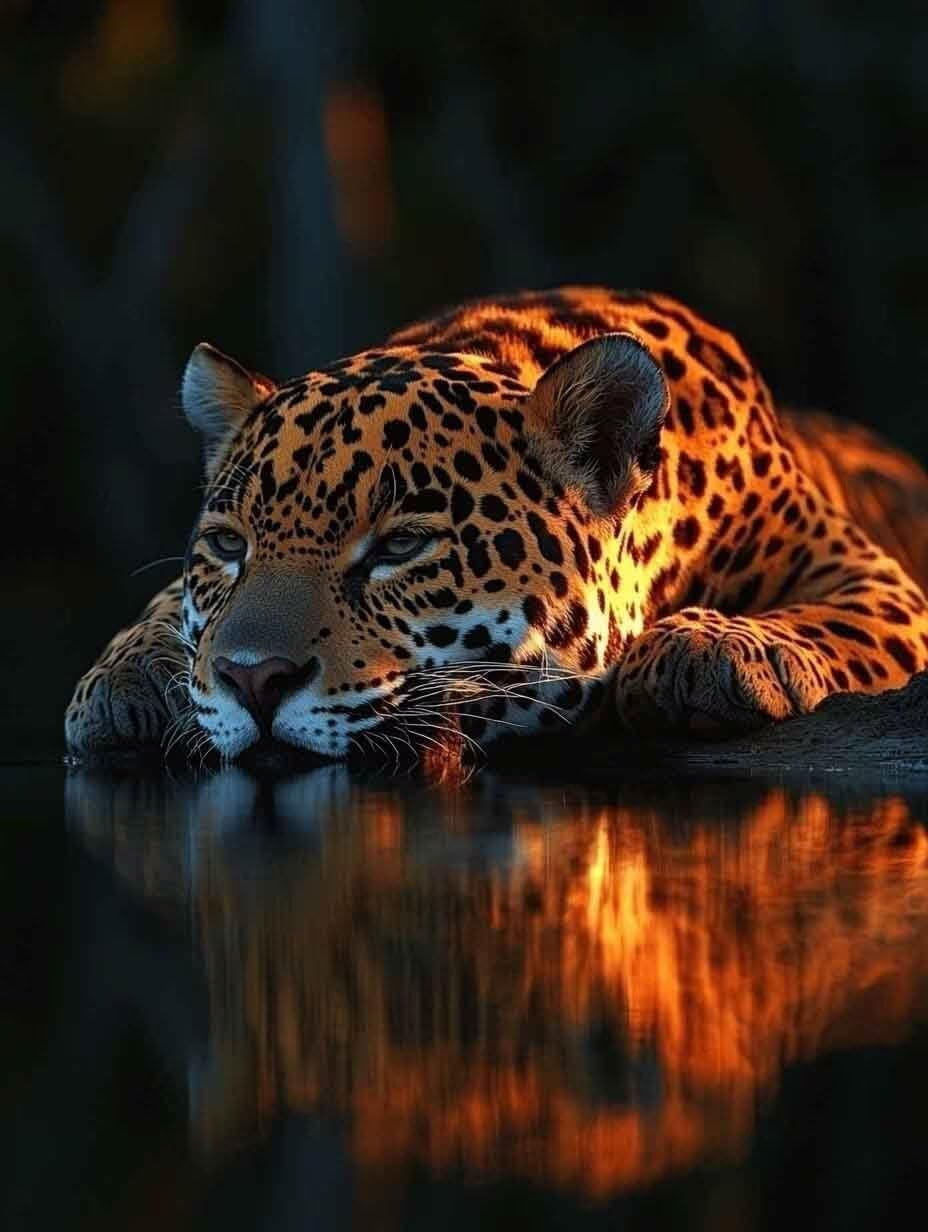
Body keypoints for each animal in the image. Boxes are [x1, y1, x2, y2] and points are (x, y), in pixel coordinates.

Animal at [64, 287, 928, 766]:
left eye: (402, 546)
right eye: (228, 545)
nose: (253, 681)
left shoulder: (872, 581)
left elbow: (826, 620)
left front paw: (709, 648)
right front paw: (129, 678)